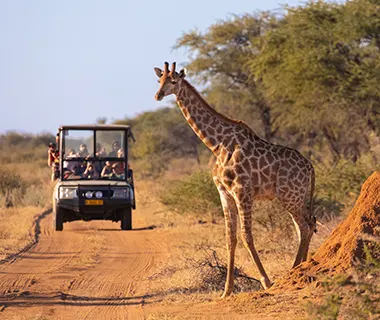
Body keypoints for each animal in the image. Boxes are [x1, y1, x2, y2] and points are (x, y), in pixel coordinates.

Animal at [153, 62, 316, 298]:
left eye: (173, 81)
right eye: (159, 80)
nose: (157, 95)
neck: (217, 144)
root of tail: (311, 167)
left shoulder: (242, 191)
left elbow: (247, 236)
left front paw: (267, 282)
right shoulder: (224, 193)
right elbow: (230, 239)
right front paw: (226, 290)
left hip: (289, 196)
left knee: (305, 226)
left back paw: (294, 270)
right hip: (297, 196)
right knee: (306, 225)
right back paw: (301, 267)